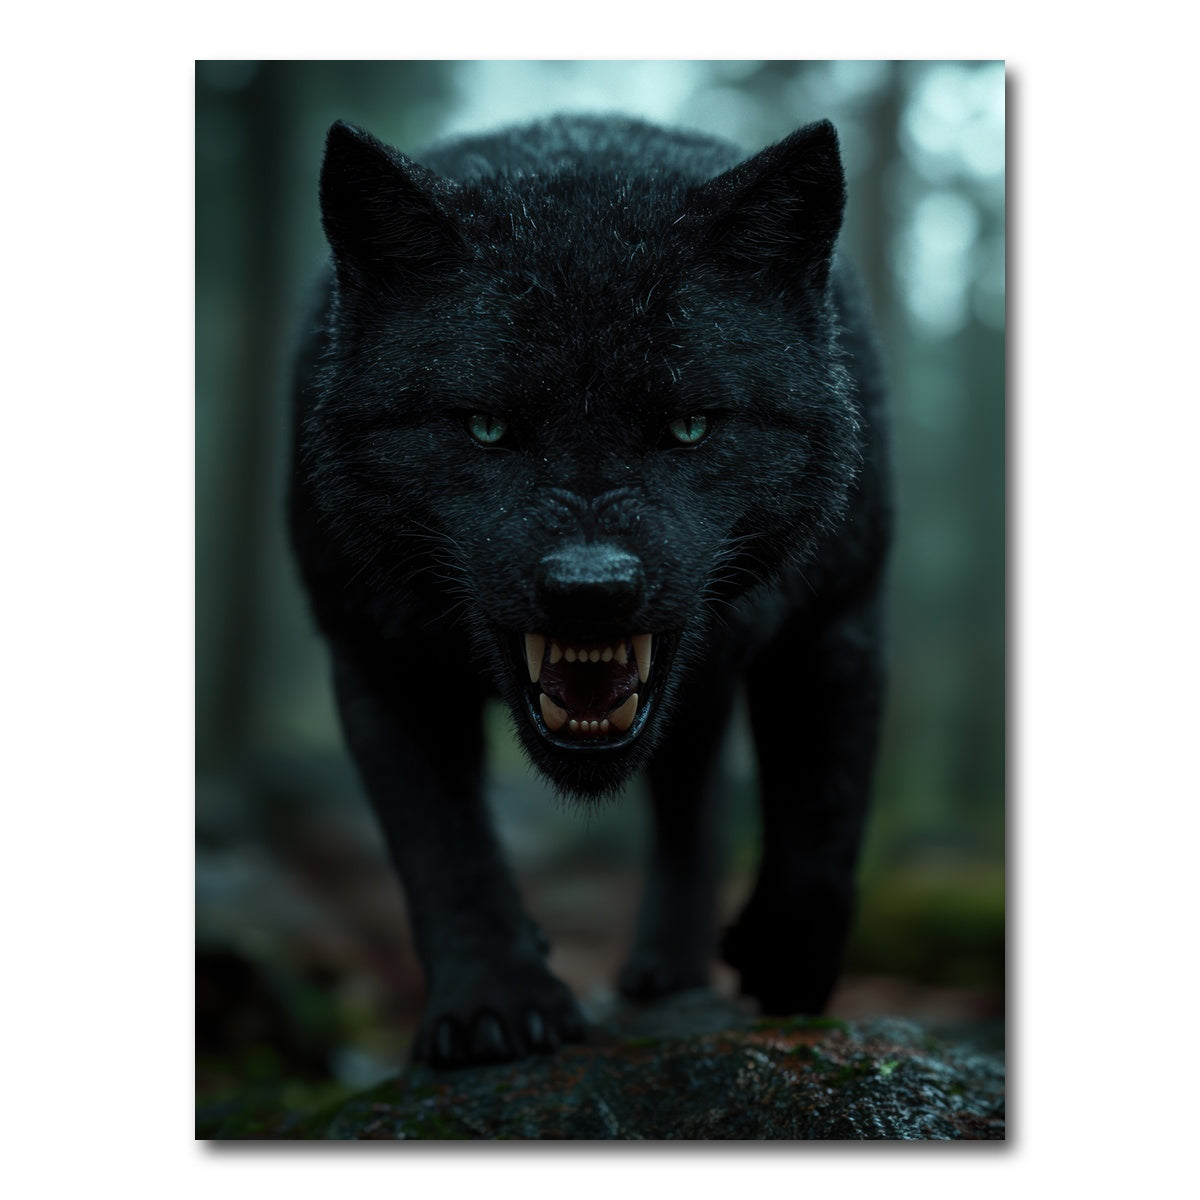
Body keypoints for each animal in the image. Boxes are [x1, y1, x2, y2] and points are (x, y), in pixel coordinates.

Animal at [289, 114, 890, 1067]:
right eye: (486, 426)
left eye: (689, 426)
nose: (590, 587)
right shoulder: (376, 654)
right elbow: (441, 844)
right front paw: (496, 1006)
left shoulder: (838, 615)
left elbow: (826, 809)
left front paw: (788, 965)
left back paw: (671, 975)